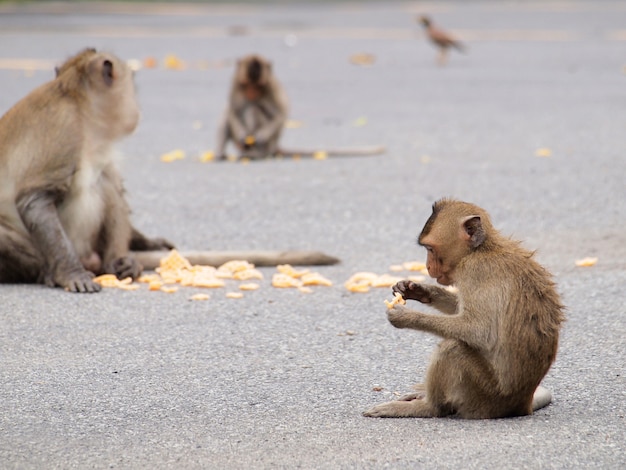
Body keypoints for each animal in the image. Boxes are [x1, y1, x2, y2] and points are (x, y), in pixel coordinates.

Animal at [0, 49, 171, 296]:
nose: (136, 109)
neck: (78, 104)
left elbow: (115, 187)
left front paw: (137, 252)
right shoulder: (64, 128)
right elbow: (34, 199)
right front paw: (71, 273)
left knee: (105, 180)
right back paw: (46, 273)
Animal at [364, 198, 564, 418]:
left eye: (430, 249)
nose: (427, 267)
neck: (482, 249)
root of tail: (522, 403)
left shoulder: (475, 270)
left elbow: (480, 330)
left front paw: (407, 316)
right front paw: (418, 290)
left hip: (484, 395)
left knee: (452, 348)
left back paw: (427, 407)